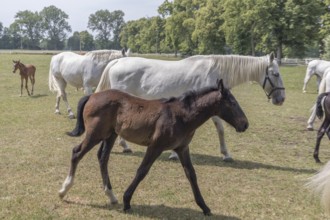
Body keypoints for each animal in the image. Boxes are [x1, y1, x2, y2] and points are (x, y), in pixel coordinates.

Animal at [94, 52, 284, 161]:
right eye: (275, 73)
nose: (281, 98)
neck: (214, 72)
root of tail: (116, 62)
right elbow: (221, 129)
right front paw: (226, 154)